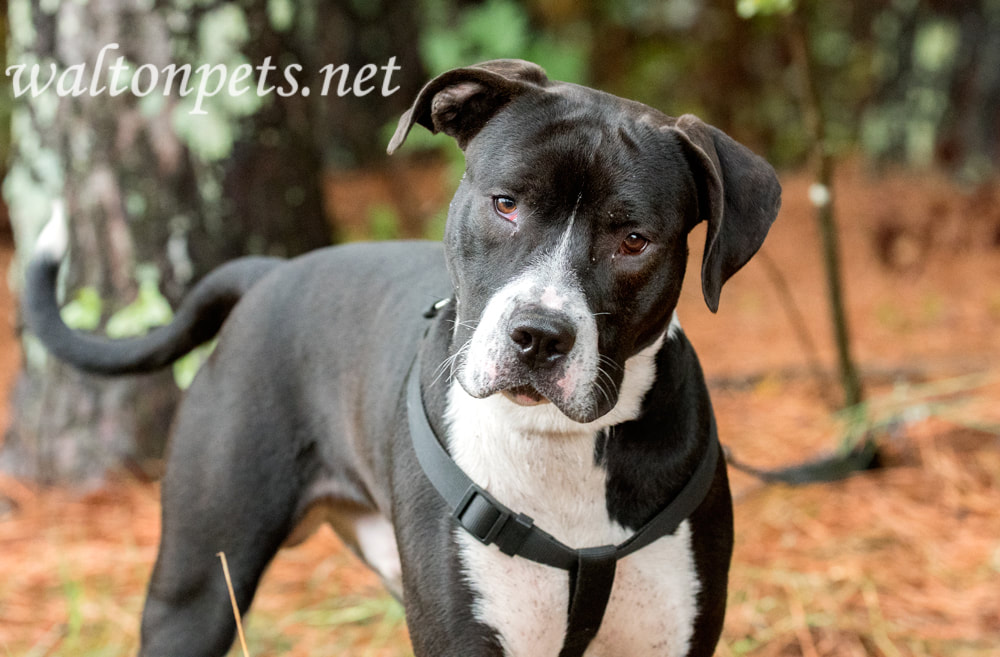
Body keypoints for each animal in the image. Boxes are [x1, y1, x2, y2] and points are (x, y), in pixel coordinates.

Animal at [23, 59, 780, 652]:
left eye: (633, 240)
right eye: (505, 203)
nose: (538, 335)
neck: (557, 445)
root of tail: (271, 272)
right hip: (197, 586)